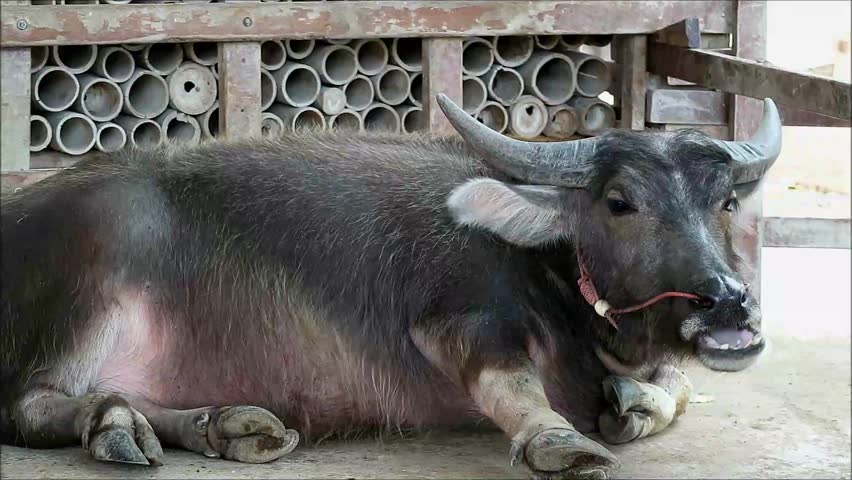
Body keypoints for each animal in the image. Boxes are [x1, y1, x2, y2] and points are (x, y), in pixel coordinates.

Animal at [0, 94, 780, 478]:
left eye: (725, 201)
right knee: (31, 403)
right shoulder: (457, 319)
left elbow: (677, 387)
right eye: (620, 202)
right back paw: (115, 426)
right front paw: (559, 440)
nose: (729, 307)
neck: (546, 270)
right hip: (86, 288)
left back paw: (228, 424)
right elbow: (510, 381)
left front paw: (635, 404)